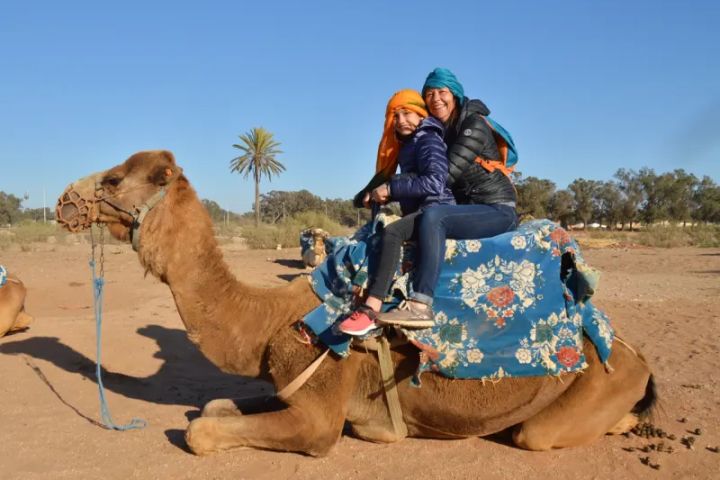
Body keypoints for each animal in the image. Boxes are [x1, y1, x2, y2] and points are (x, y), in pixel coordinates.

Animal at [56, 150, 655, 456]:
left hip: (588, 392)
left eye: (115, 177)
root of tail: (630, 352)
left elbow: (202, 430)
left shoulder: (321, 407)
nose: (63, 201)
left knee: (540, 434)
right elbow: (215, 407)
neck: (270, 320)